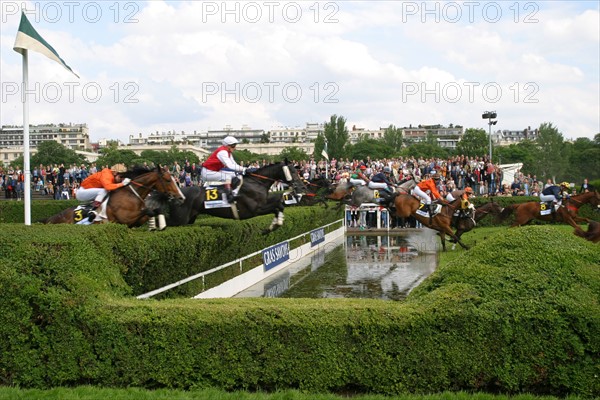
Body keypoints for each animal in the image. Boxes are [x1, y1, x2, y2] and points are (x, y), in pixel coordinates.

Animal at [41, 166, 185, 228]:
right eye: (168, 180)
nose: (181, 198)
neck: (131, 194)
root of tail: (50, 219)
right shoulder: (125, 218)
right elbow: (149, 211)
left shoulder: (136, 222)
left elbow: (152, 211)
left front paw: (158, 224)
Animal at [158, 160, 304, 234]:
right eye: (292, 171)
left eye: (297, 170)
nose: (301, 187)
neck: (257, 182)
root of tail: (177, 194)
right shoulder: (255, 209)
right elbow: (276, 206)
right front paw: (273, 226)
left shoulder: (265, 201)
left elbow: (279, 204)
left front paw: (275, 224)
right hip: (179, 219)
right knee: (167, 222)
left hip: (189, 219)